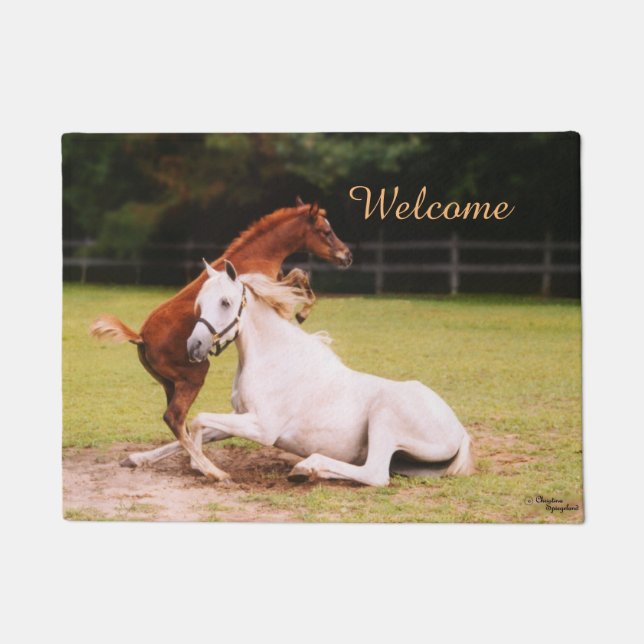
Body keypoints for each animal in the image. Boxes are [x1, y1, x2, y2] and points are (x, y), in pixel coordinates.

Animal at [89, 199, 352, 480]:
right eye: (326, 231)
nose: (347, 255)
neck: (258, 254)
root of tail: (140, 337)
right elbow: (298, 280)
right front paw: (303, 314)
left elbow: (298, 277)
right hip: (194, 375)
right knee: (175, 418)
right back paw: (211, 470)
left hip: (169, 384)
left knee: (180, 423)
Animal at [133, 261, 475, 486]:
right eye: (200, 304)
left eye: (226, 302)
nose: (195, 346)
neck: (274, 359)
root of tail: (459, 430)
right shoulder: (240, 417)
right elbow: (196, 429)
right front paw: (140, 459)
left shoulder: (262, 427)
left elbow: (198, 421)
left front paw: (211, 470)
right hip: (406, 458)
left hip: (385, 416)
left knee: (375, 474)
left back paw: (307, 467)